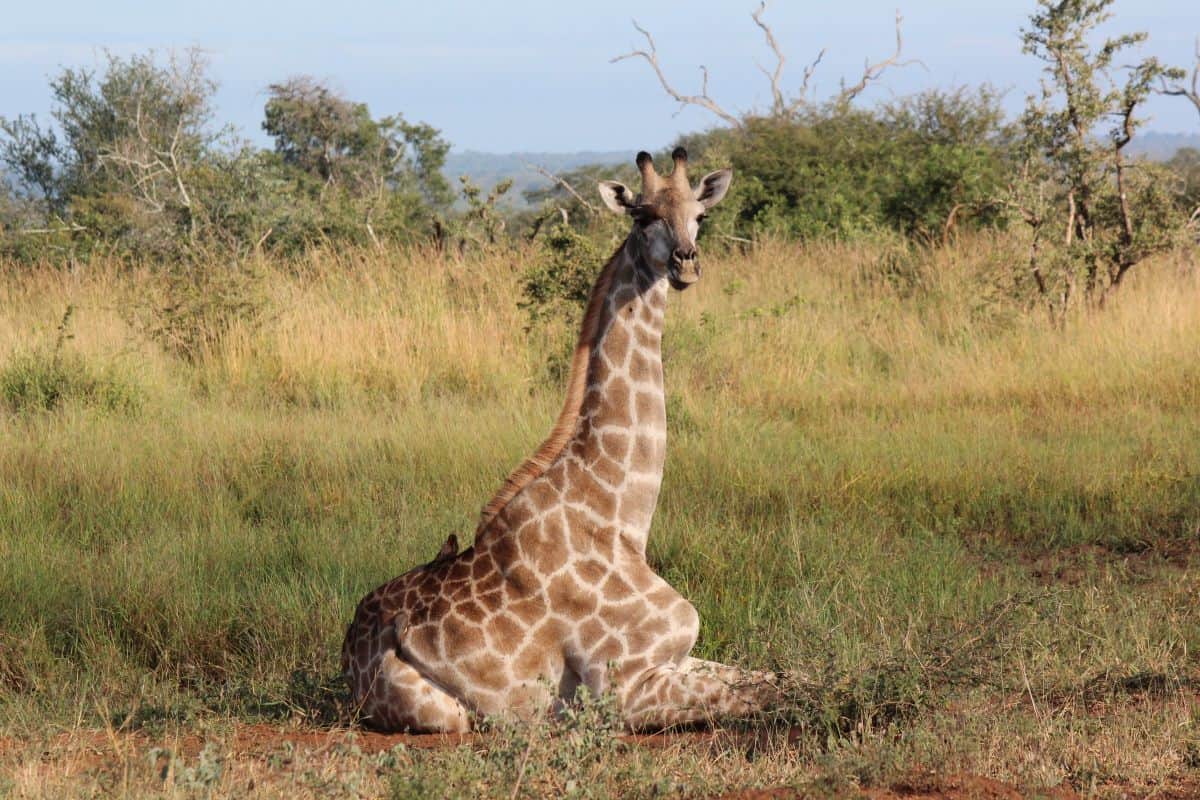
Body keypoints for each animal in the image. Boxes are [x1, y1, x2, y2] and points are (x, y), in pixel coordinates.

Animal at [343, 145, 782, 734]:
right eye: (642, 216)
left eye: (701, 215)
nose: (685, 263)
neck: (621, 518)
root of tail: (345, 649)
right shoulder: (624, 691)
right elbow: (769, 693)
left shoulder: (680, 657)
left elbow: (781, 676)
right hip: (443, 714)